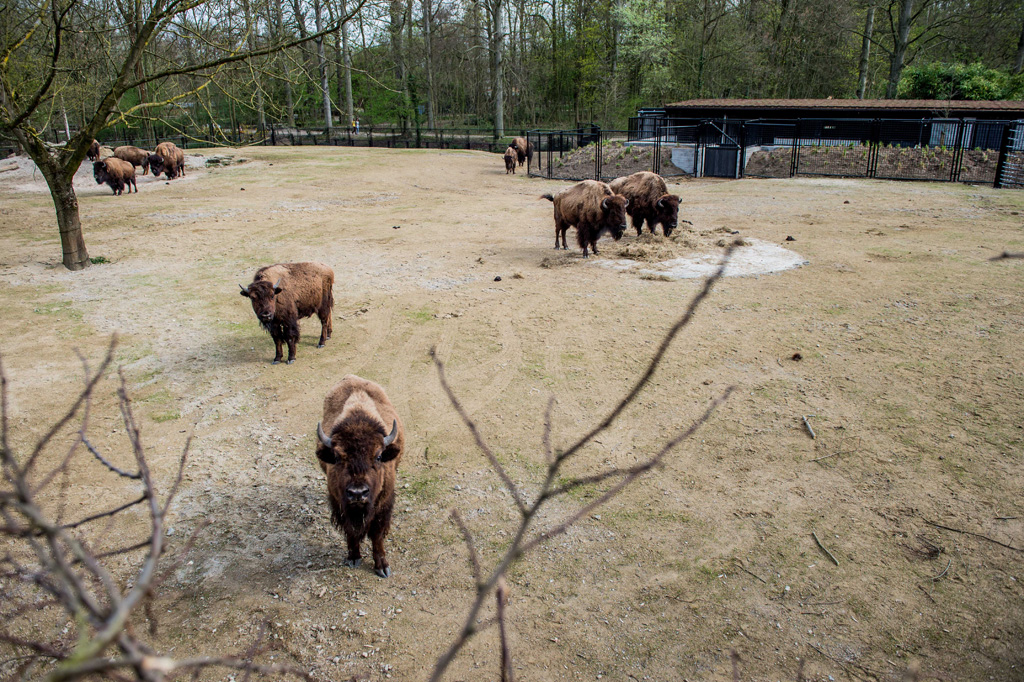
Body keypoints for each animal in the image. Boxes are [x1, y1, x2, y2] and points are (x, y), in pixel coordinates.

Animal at [315, 374, 403, 577]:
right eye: (337, 457)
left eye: (378, 456)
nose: (357, 493)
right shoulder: (340, 504)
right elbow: (351, 531)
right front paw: (353, 558)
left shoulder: (382, 506)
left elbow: (377, 535)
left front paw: (382, 567)